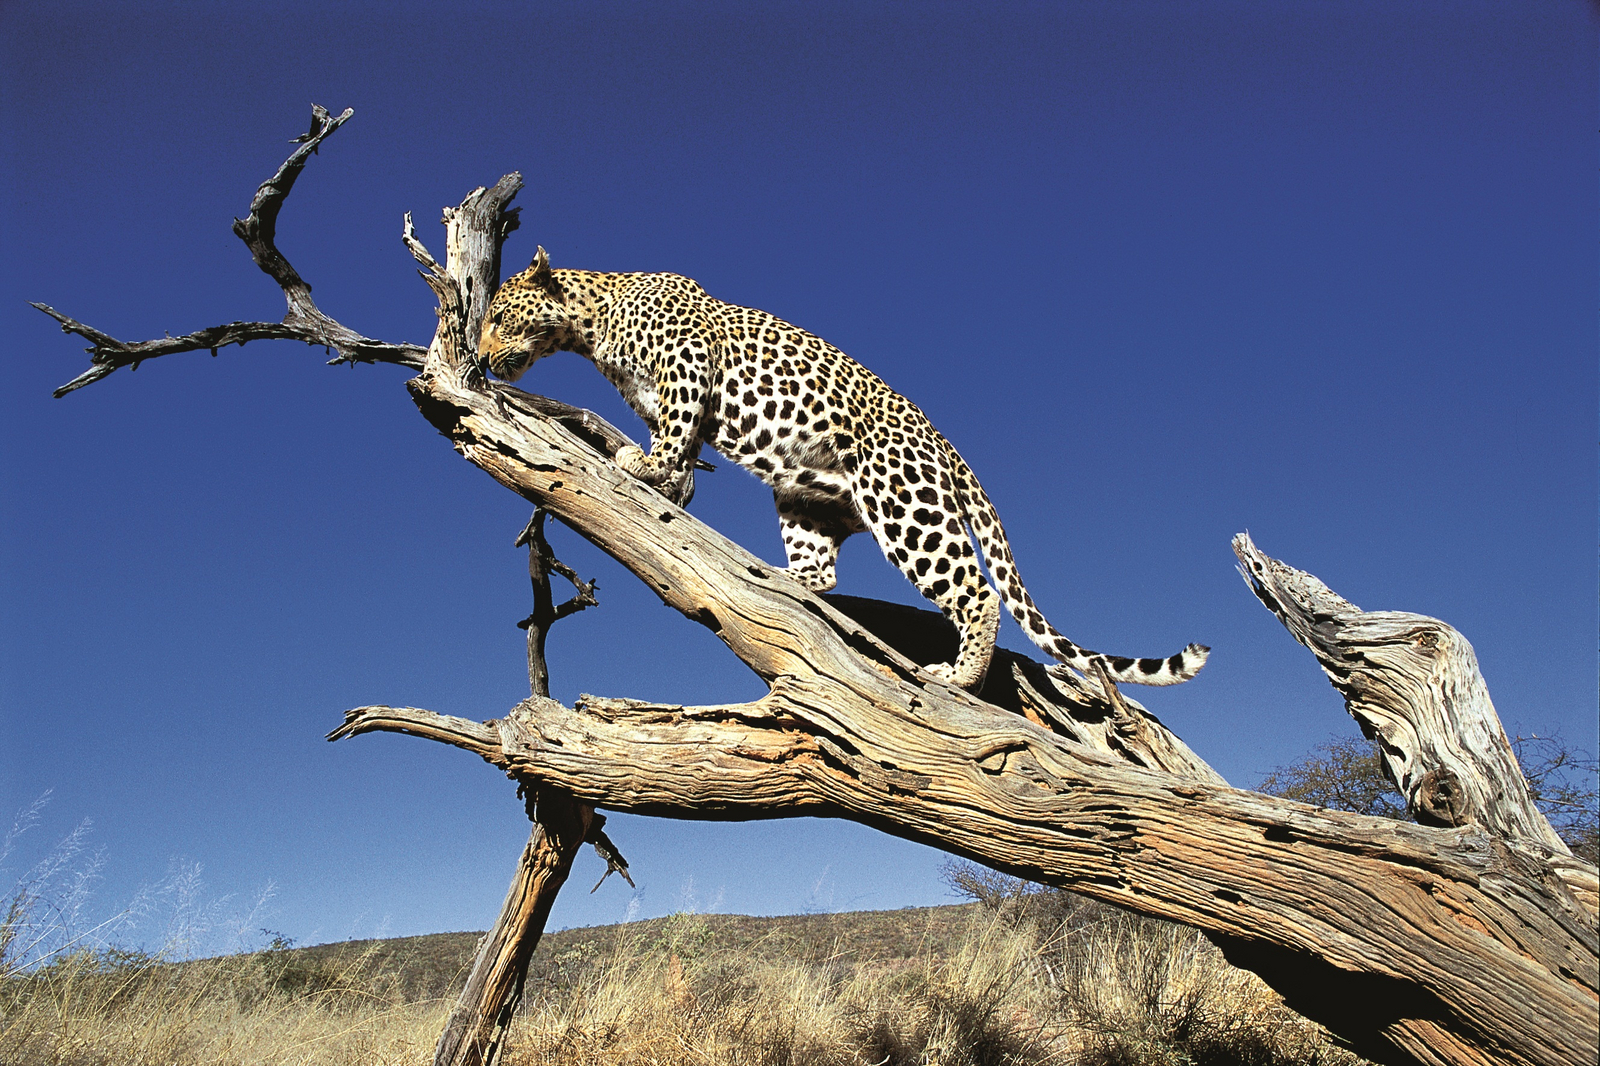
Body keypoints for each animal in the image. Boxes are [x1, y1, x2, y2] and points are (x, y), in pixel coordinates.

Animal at [480, 247, 1209, 692]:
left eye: (499, 315)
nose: (482, 356)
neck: (589, 325)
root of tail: (949, 448)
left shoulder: (689, 368)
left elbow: (674, 436)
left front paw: (644, 465)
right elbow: (680, 451)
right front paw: (668, 480)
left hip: (907, 503)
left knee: (976, 591)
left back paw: (961, 676)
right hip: (807, 499)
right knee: (823, 574)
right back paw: (782, 577)